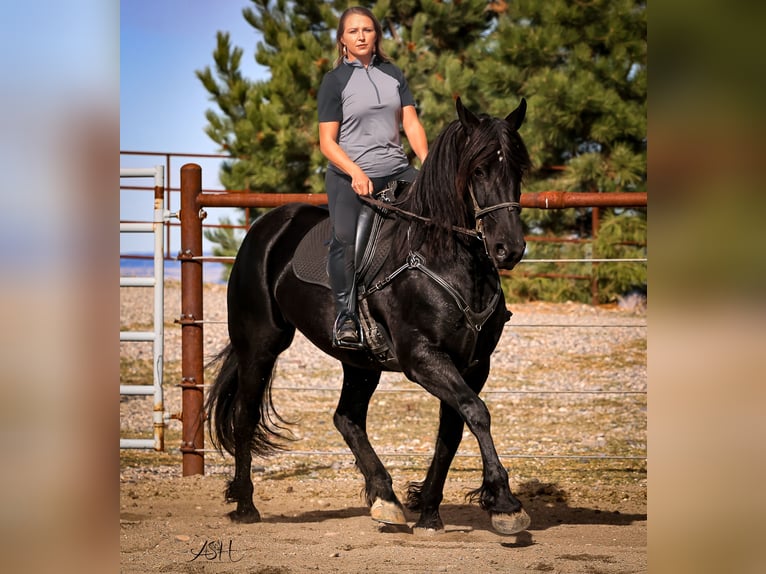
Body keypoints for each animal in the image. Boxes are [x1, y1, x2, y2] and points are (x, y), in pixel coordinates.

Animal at [206, 97, 532, 535]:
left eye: (517, 169)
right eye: (478, 170)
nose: (508, 249)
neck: (443, 257)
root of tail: (266, 227)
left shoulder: (473, 364)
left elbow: (453, 429)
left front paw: (429, 511)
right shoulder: (422, 358)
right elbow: (476, 413)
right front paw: (504, 503)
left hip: (359, 362)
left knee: (347, 418)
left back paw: (385, 498)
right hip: (260, 343)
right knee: (245, 416)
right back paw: (245, 505)